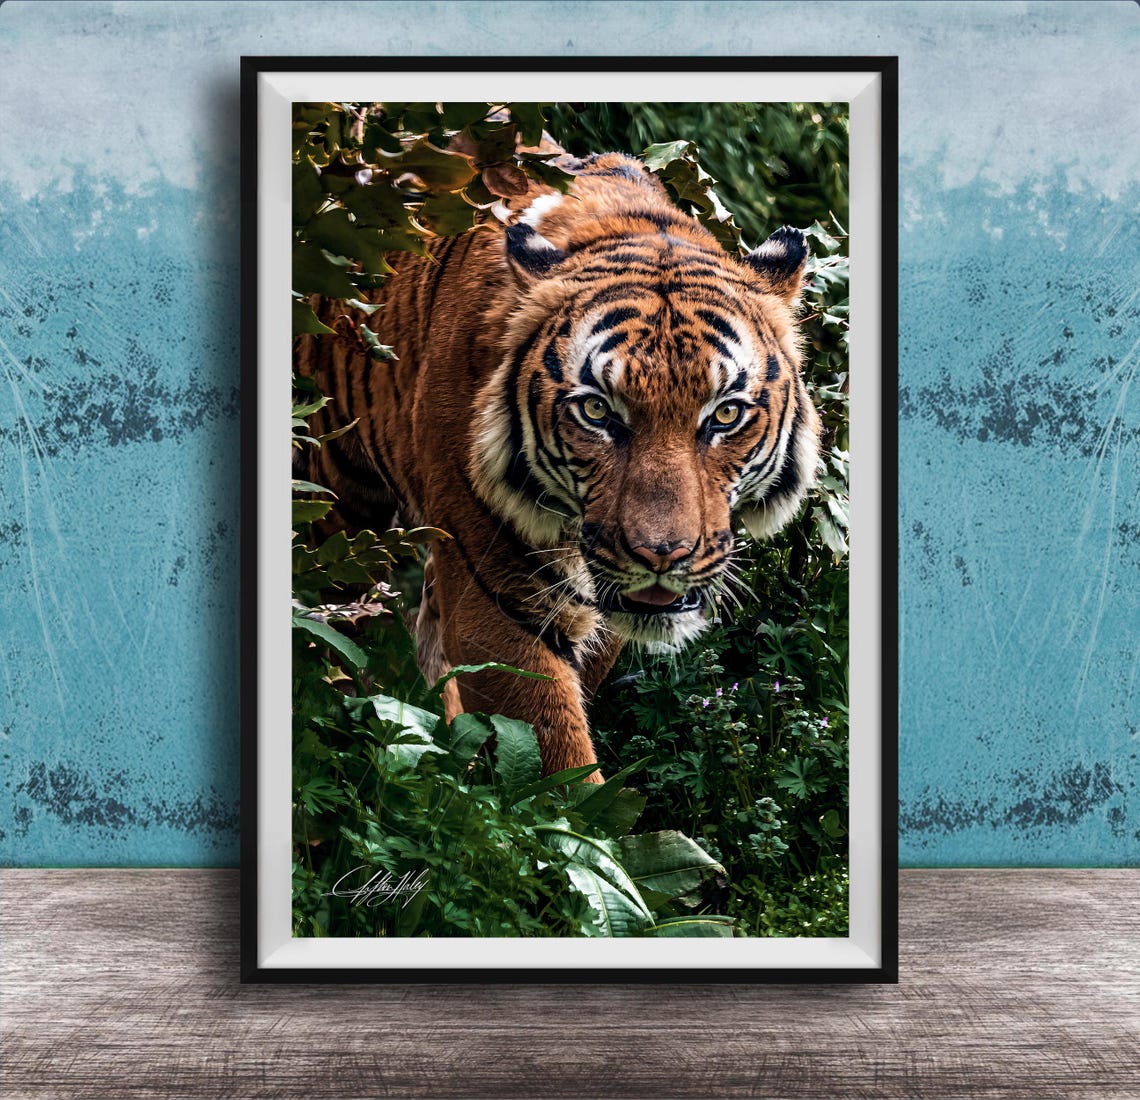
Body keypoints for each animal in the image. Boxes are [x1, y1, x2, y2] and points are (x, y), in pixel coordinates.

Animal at [296, 149, 821, 783]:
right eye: (597, 411)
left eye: (725, 414)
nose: (660, 557)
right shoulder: (495, 595)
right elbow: (551, 749)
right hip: (333, 503)